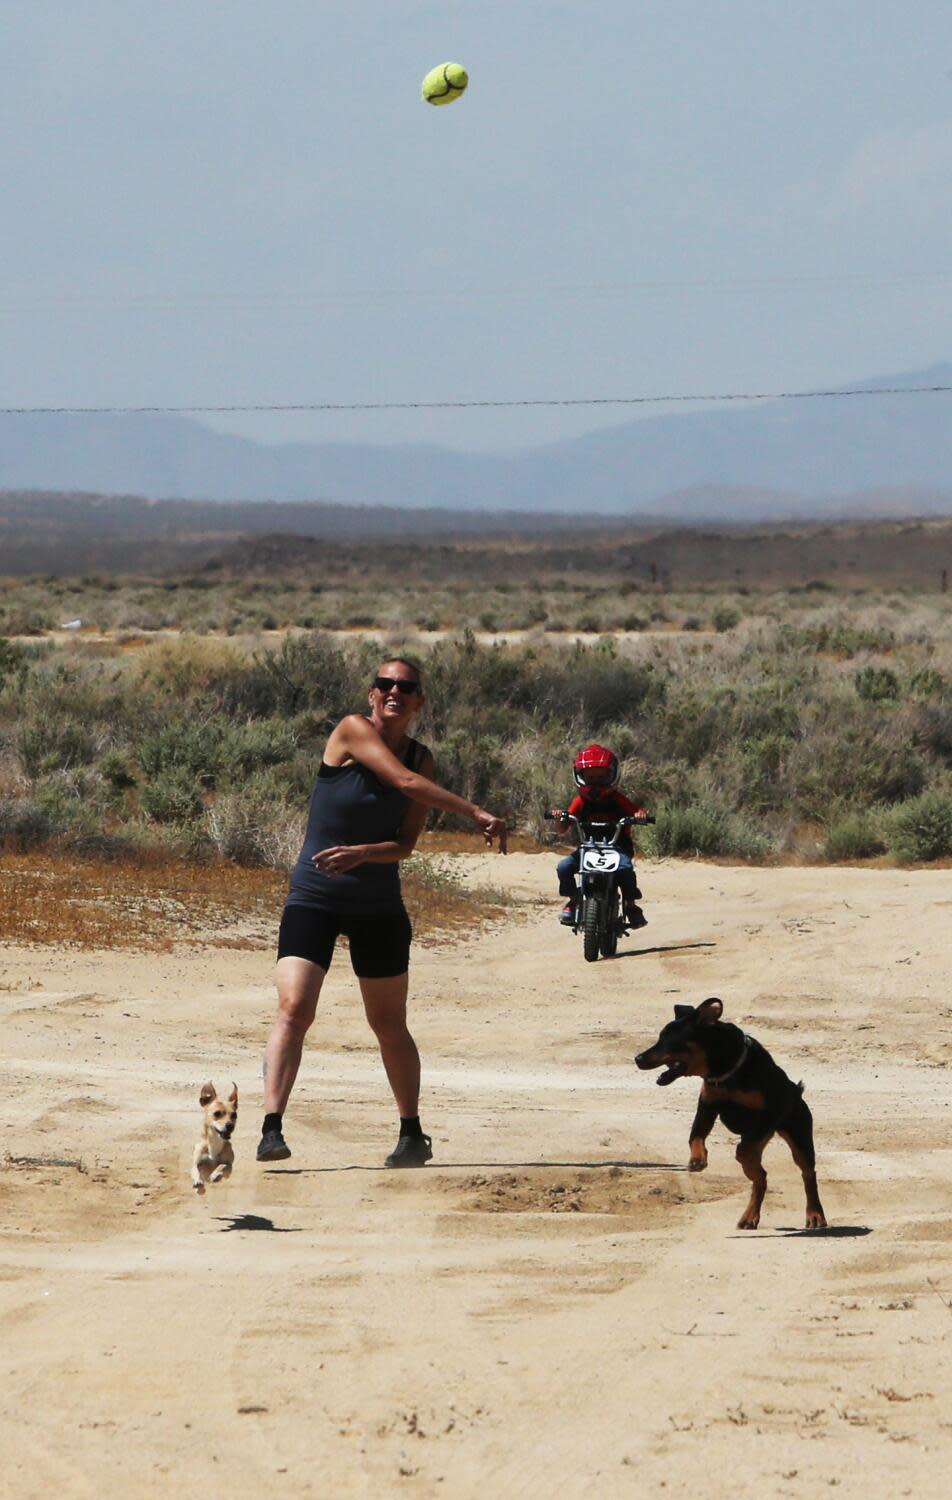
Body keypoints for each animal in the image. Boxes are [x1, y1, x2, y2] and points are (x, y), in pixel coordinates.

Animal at [641, 996, 827, 1230]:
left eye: (669, 1040)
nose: (637, 1058)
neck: (726, 1071)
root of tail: (797, 1092)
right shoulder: (707, 1107)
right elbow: (695, 1136)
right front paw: (697, 1160)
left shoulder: (770, 1114)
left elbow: (743, 1149)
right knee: (761, 1178)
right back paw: (750, 1216)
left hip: (799, 1134)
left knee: (807, 1173)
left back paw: (815, 1215)